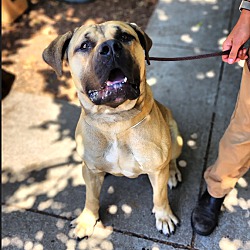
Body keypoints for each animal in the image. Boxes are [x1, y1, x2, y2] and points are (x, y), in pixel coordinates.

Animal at [42, 20, 184, 239]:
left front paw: (164, 216)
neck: (115, 122)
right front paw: (87, 220)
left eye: (125, 37)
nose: (110, 47)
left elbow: (159, 196)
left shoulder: (156, 169)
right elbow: (91, 197)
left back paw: (173, 172)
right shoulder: (90, 171)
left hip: (176, 139)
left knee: (172, 159)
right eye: (84, 46)